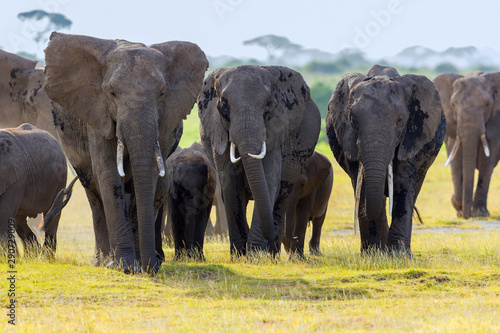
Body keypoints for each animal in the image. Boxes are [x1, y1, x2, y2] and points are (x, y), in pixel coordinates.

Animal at [0, 124, 67, 254]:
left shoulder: (17, 178)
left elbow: (4, 213)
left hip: (60, 179)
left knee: (52, 216)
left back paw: (46, 256)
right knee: (20, 221)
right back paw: (32, 255)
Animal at [42, 32, 207, 272]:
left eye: (162, 93)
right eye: (111, 92)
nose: (150, 267)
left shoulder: (164, 119)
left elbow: (150, 178)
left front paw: (141, 265)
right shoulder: (97, 114)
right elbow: (109, 176)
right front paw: (125, 266)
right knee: (94, 194)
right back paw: (102, 261)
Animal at [197, 65, 318, 256]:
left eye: (268, 105)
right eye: (223, 106)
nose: (275, 229)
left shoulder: (276, 131)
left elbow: (268, 179)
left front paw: (255, 255)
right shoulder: (219, 131)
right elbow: (230, 184)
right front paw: (239, 255)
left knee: (280, 199)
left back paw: (273, 254)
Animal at [328, 64, 446, 252]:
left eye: (400, 121)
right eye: (352, 119)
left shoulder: (411, 137)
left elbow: (403, 184)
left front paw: (399, 254)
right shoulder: (348, 140)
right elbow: (362, 186)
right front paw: (372, 254)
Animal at [434, 71, 500, 219]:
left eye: (487, 104)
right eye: (453, 104)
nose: (466, 216)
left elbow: (486, 163)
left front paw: (480, 213)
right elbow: (457, 163)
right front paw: (457, 205)